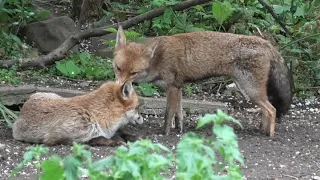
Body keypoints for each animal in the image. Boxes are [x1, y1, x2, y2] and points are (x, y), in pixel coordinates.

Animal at [12, 81, 142, 146]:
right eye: (137, 107)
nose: (142, 119)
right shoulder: (60, 137)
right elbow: (99, 139)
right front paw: (117, 142)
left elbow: (122, 132)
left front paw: (134, 137)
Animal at [112, 25, 292, 137]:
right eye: (118, 68)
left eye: (133, 72)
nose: (119, 87)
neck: (158, 58)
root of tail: (265, 42)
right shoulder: (178, 88)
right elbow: (179, 115)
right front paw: (179, 130)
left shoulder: (172, 88)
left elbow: (168, 115)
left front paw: (165, 133)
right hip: (249, 90)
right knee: (267, 109)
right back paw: (262, 130)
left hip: (250, 90)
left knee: (272, 109)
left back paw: (270, 134)